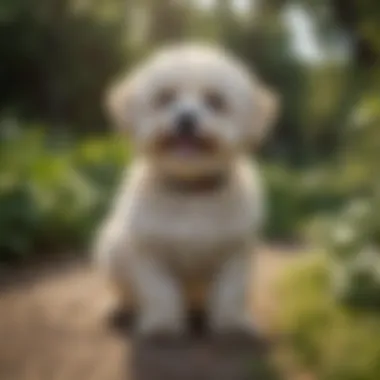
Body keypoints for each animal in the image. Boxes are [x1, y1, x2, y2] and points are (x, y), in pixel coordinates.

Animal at [94, 43, 280, 338]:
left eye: (215, 101)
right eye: (165, 98)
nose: (186, 118)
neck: (191, 191)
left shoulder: (235, 252)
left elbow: (231, 292)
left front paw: (232, 324)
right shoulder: (150, 251)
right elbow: (160, 292)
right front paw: (161, 325)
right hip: (112, 248)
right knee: (127, 290)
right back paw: (123, 309)